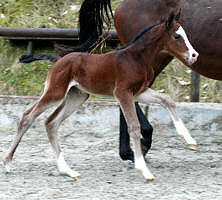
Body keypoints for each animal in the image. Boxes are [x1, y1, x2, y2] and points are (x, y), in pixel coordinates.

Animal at [3, 13, 198, 180]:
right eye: (176, 36)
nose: (194, 55)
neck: (136, 58)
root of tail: (58, 60)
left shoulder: (140, 92)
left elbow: (168, 100)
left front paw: (188, 139)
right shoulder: (123, 93)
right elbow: (134, 127)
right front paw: (143, 170)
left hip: (76, 96)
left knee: (50, 122)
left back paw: (67, 170)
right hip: (56, 92)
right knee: (28, 117)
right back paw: (8, 163)